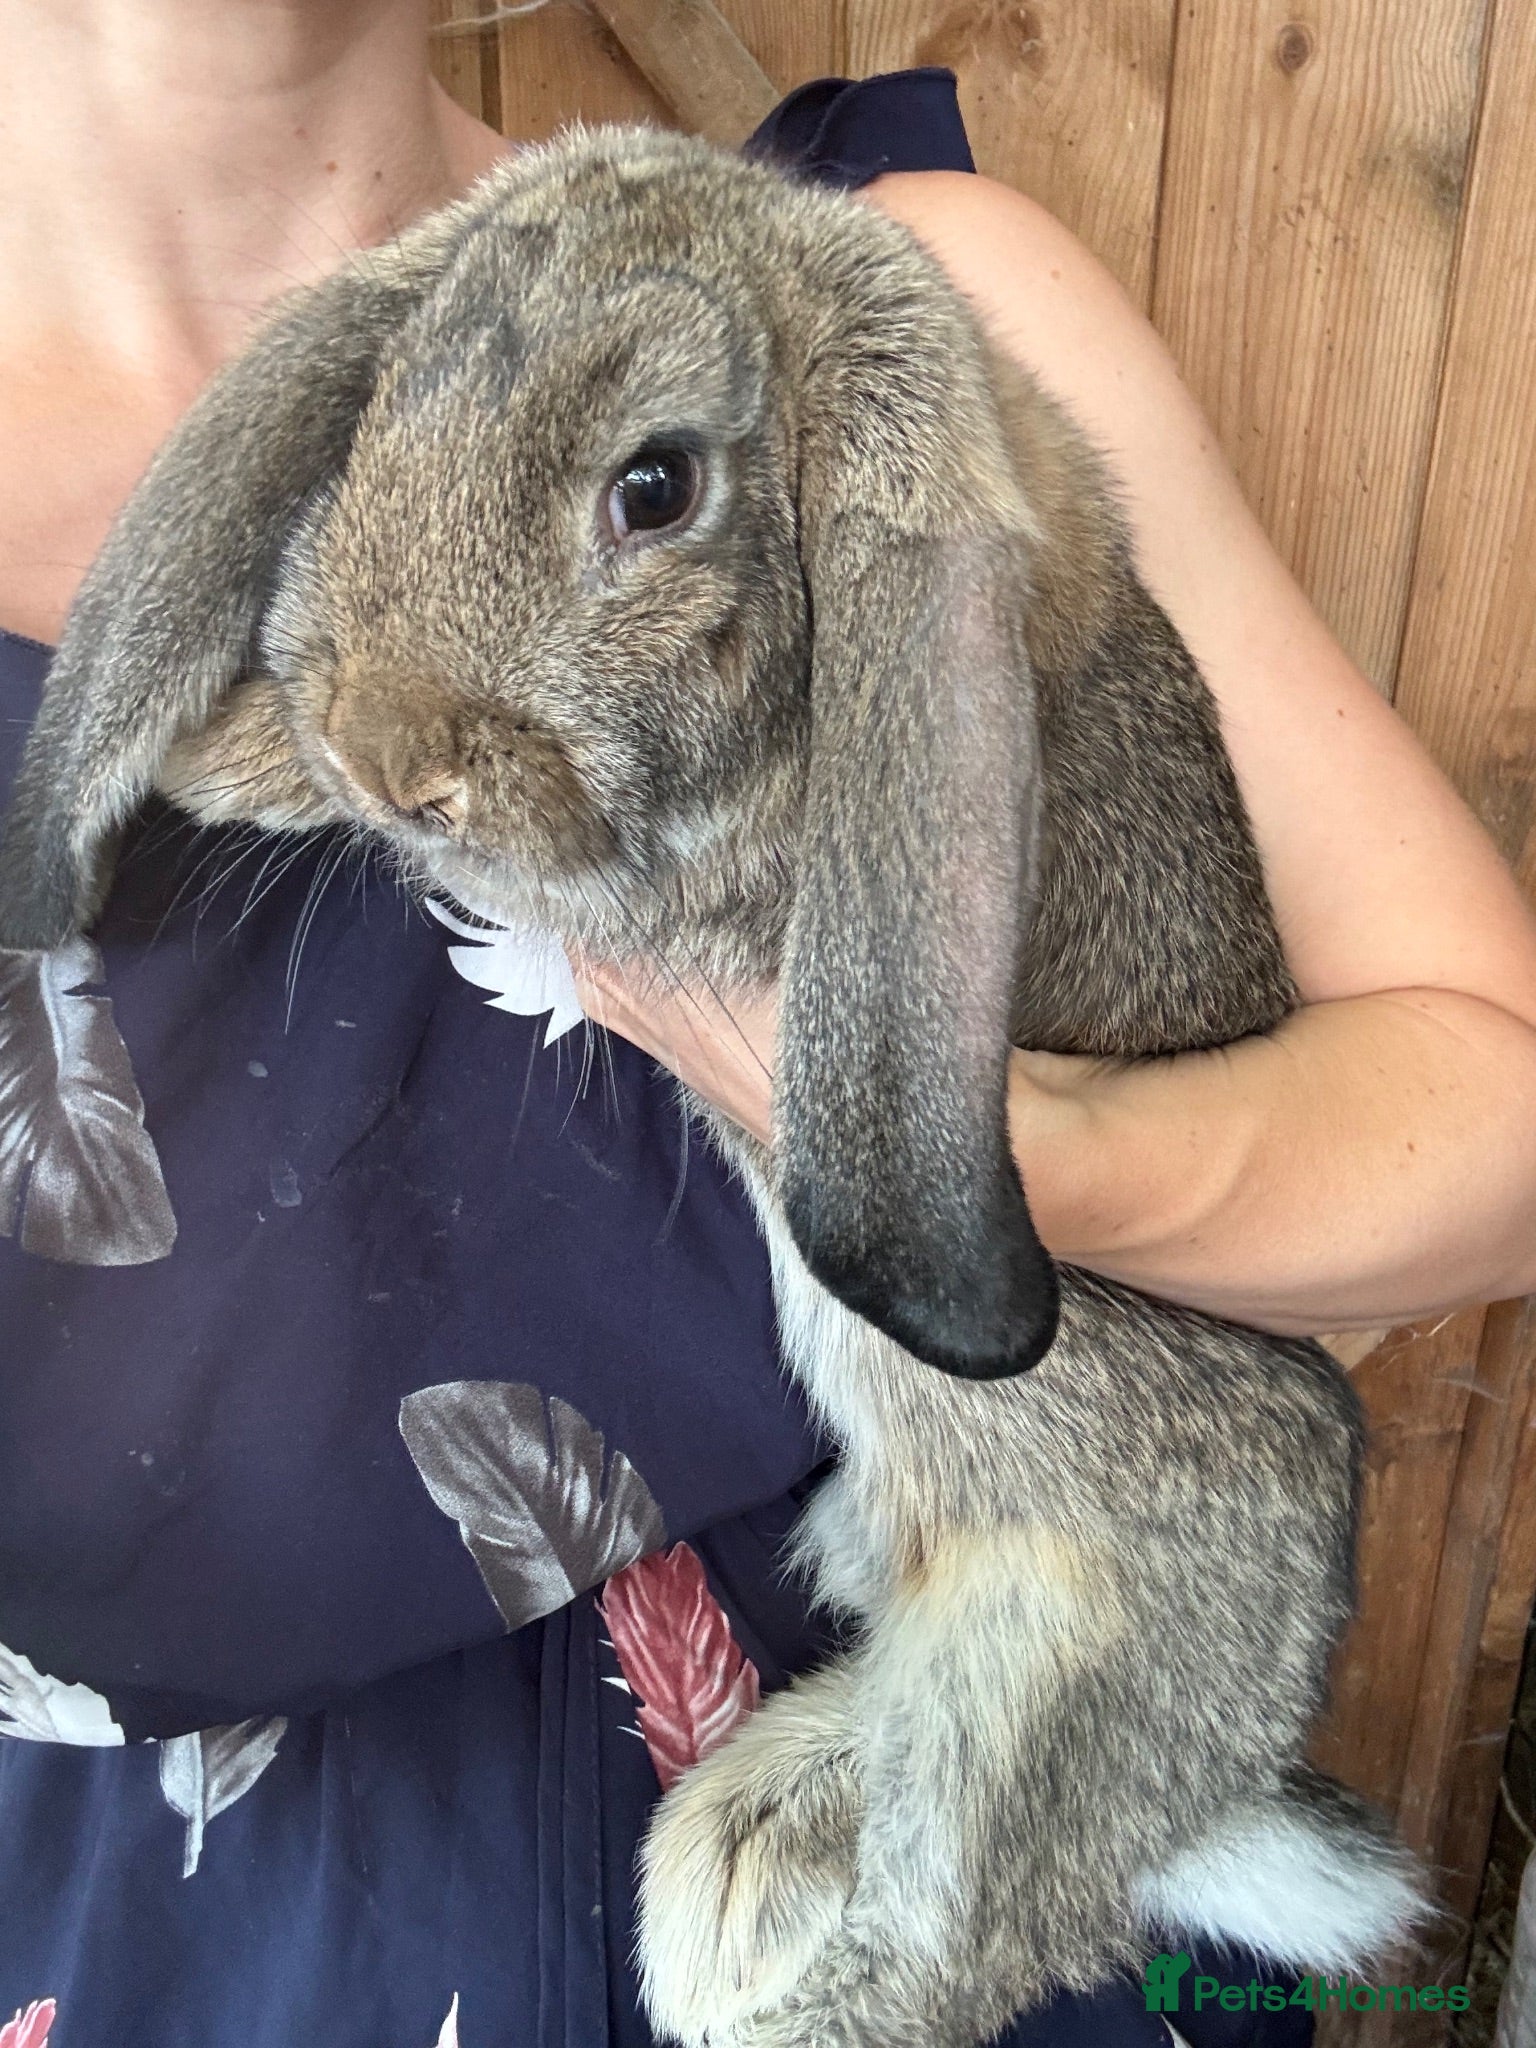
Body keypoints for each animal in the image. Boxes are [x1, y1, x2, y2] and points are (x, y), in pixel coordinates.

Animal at [0, 126, 1428, 2045]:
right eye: (385, 410)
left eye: (656, 486)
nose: (389, 742)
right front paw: (257, 747)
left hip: (1045, 1686)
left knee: (960, 1901)